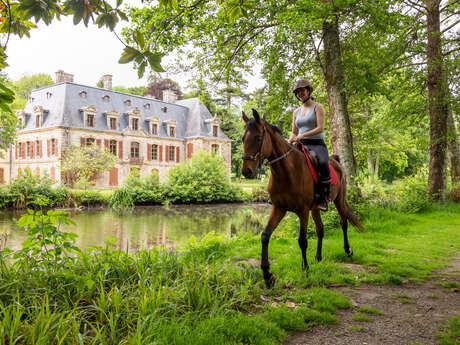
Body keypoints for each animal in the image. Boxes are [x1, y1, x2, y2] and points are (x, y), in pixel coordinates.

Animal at [241, 109, 362, 286]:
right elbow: (265, 236)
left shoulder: (302, 211)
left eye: (257, 137)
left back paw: (348, 250)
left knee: (343, 223)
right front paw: (267, 275)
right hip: (316, 208)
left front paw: (305, 269)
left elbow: (302, 241)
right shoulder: (279, 208)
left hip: (339, 200)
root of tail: (336, 161)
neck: (287, 172)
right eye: (243, 138)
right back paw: (318, 257)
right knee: (320, 228)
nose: (246, 171)